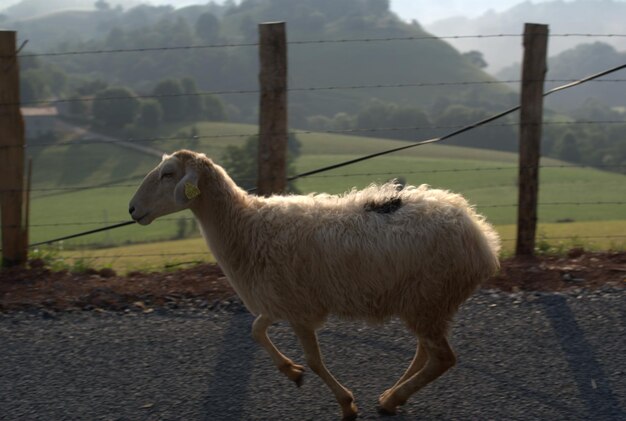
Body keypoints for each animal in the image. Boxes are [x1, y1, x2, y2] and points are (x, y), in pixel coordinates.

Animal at [129, 149, 500, 418]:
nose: (132, 209)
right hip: (426, 301)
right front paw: (291, 372)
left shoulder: (299, 309)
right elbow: (256, 330)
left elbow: (314, 361)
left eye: (167, 173)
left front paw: (346, 404)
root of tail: (479, 234)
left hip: (429, 295)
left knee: (442, 358)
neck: (246, 225)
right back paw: (392, 397)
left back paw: (394, 398)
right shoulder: (281, 301)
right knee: (426, 351)